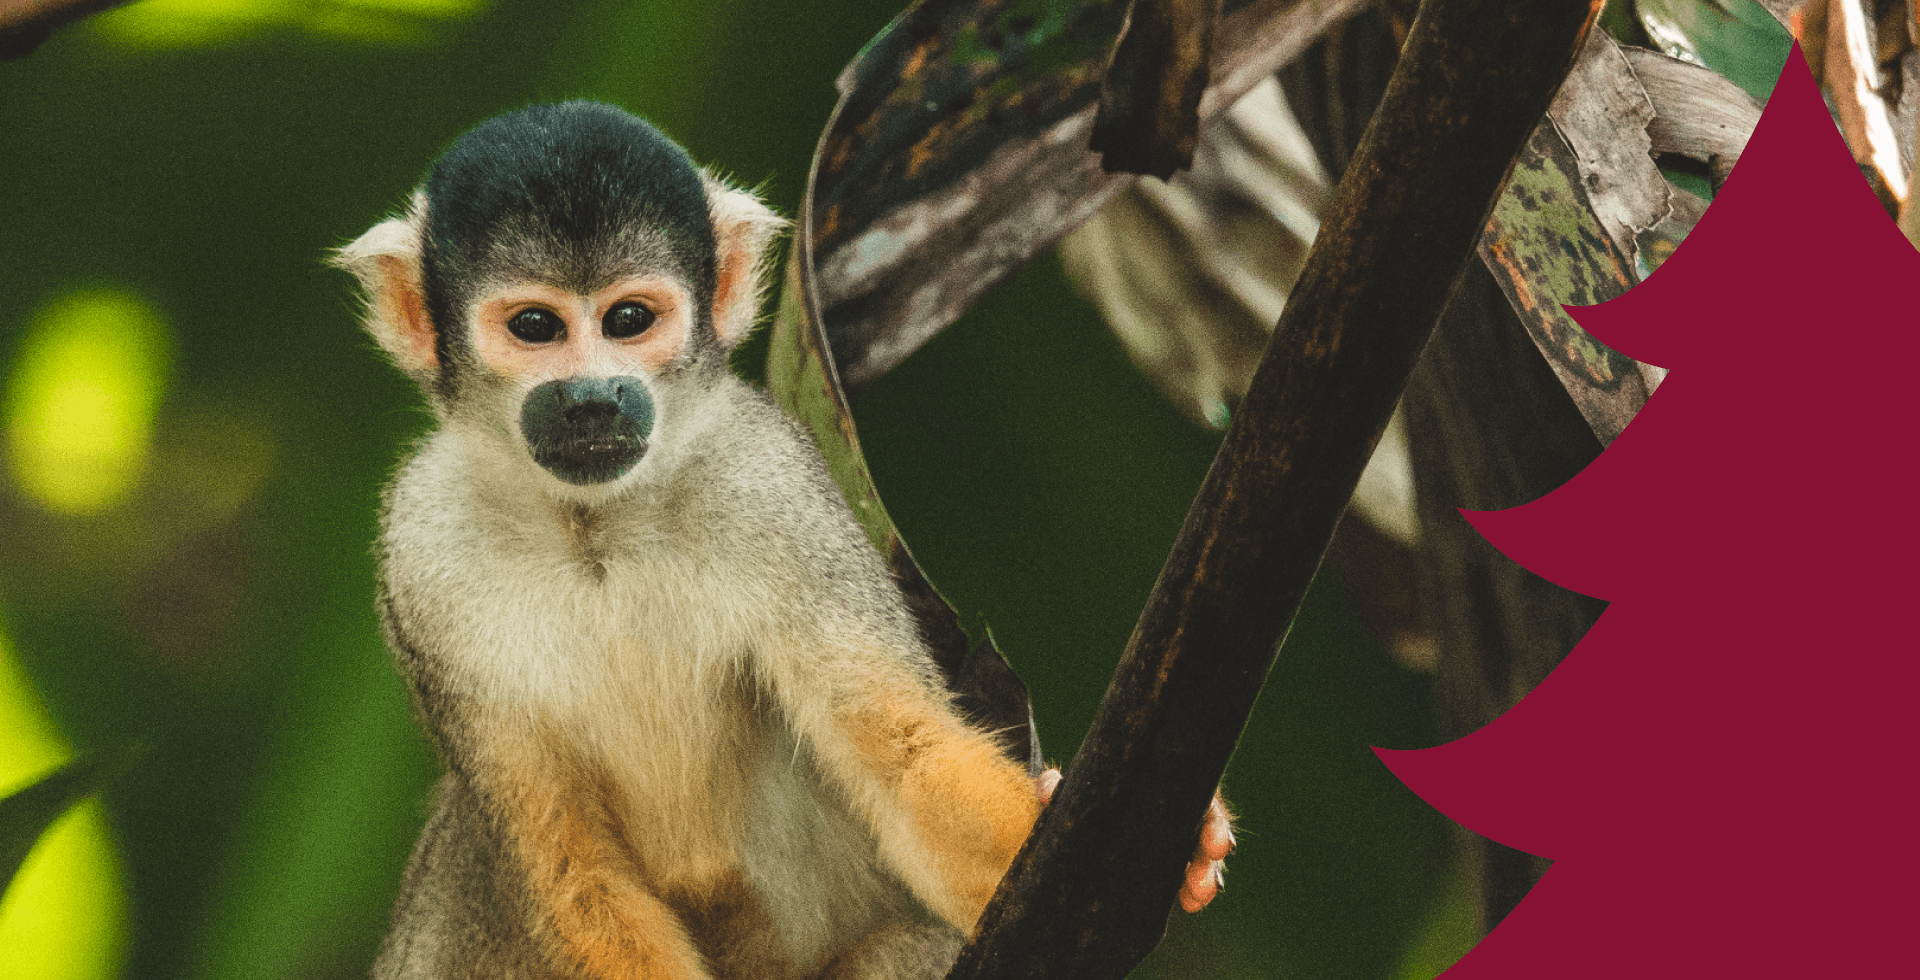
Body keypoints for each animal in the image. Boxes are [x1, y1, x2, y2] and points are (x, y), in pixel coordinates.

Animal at [335, 101, 1231, 980]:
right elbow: (567, 869)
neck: (598, 523)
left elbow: (902, 759)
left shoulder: (774, 482)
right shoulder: (420, 551)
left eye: (628, 320)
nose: (592, 400)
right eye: (534, 326)